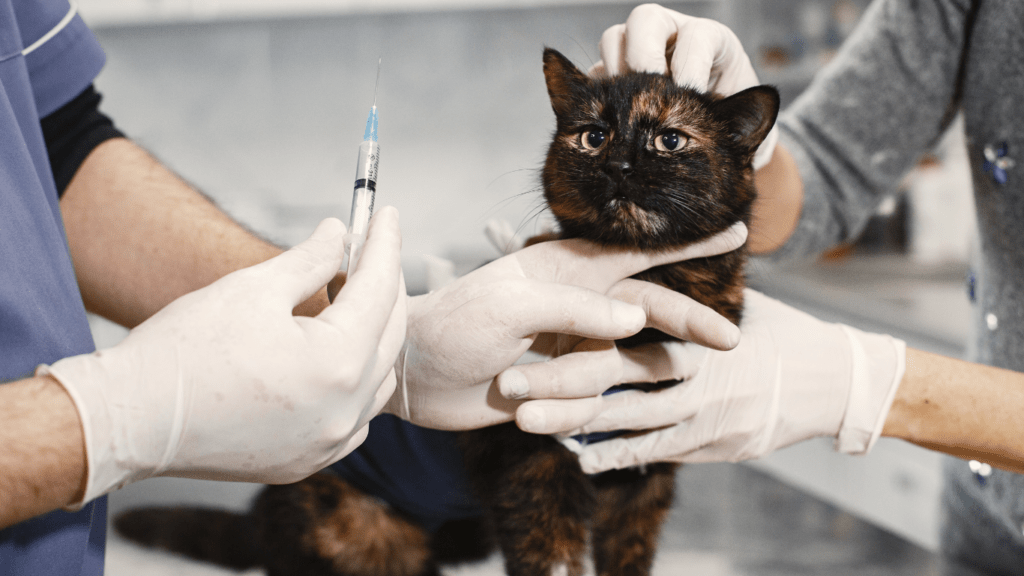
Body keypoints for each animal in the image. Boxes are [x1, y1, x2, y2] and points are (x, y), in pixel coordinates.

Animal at [112, 48, 778, 573]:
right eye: (593, 135)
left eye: (670, 139)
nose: (618, 165)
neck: (645, 284)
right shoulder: (531, 464)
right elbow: (552, 559)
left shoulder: (643, 475)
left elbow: (629, 560)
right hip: (359, 532)